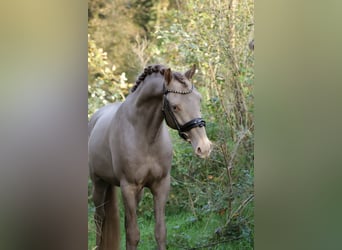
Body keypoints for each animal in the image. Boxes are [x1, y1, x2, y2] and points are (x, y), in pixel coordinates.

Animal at [88, 63, 211, 249]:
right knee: (99, 218)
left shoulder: (160, 185)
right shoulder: (128, 187)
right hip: (99, 183)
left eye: (199, 100)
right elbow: (133, 235)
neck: (144, 135)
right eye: (175, 106)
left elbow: (160, 232)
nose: (204, 147)